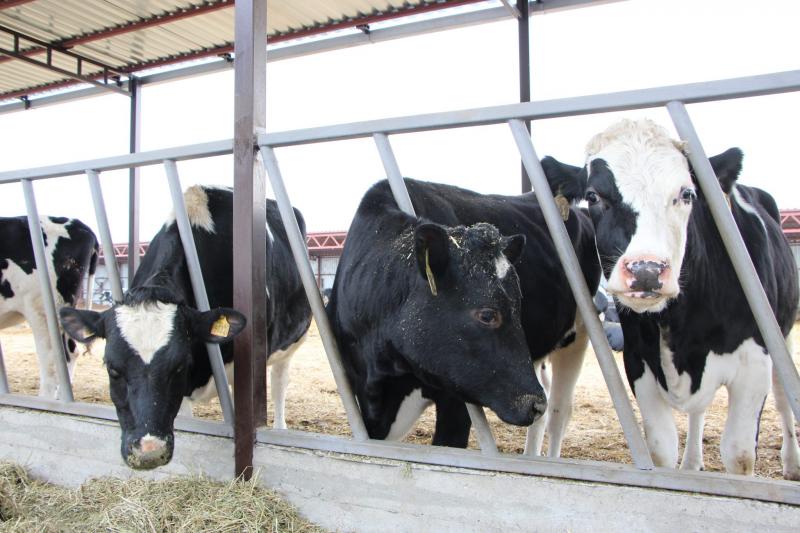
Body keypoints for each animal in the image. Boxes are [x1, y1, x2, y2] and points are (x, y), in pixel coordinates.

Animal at [57, 185, 310, 468]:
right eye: (112, 369)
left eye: (179, 366)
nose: (148, 452)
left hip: (289, 347)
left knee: (279, 384)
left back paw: (280, 427)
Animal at [326, 177, 600, 450]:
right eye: (487, 315)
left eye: (518, 305)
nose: (535, 404)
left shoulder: (456, 400)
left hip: (579, 335)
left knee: (559, 413)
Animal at [548, 119, 800, 478]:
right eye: (594, 196)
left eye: (686, 194)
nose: (646, 271)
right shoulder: (639, 362)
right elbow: (661, 450)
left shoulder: (754, 364)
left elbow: (739, 455)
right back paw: (693, 463)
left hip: (784, 333)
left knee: (782, 396)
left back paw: (791, 462)